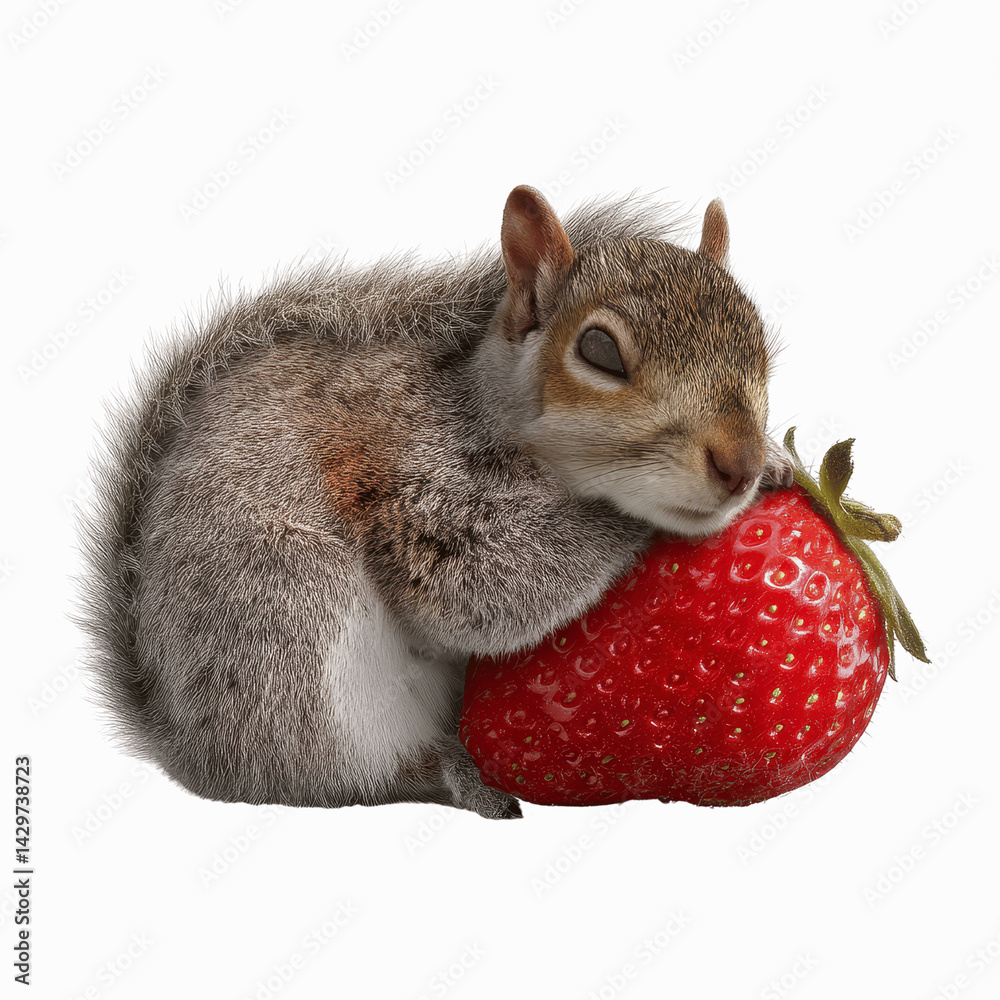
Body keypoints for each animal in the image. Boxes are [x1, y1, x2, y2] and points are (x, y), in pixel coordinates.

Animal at [78, 184, 794, 820]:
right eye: (599, 350)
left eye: (759, 340)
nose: (740, 464)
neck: (482, 411)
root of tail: (191, 751)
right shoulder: (408, 480)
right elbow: (467, 590)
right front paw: (628, 513)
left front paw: (780, 464)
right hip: (288, 628)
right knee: (352, 778)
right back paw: (457, 774)